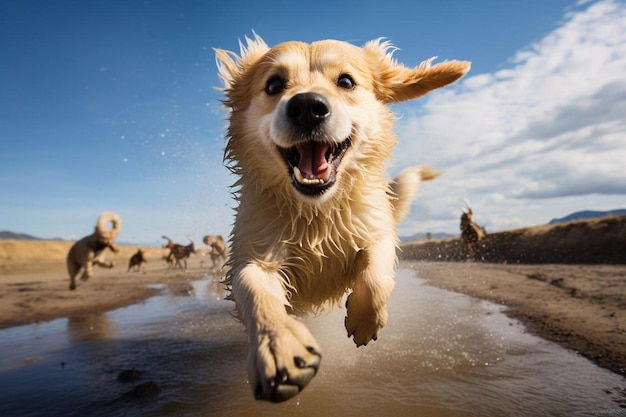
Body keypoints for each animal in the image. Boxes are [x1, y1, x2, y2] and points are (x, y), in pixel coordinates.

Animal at [214, 35, 468, 400]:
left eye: (346, 81)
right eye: (274, 84)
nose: (307, 106)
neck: (316, 211)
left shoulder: (376, 229)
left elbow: (377, 277)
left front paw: (363, 320)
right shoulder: (254, 254)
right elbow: (259, 295)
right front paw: (279, 348)